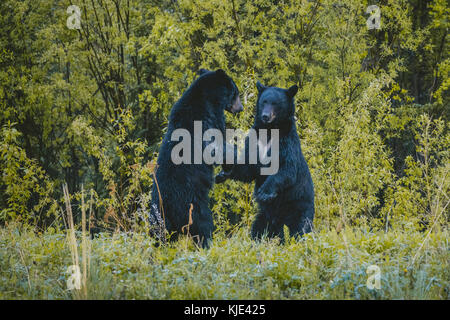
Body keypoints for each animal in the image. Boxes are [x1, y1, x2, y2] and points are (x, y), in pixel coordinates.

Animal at [149, 68, 243, 248]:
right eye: (236, 92)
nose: (240, 108)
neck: (209, 100)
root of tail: (168, 207)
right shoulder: (206, 121)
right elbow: (217, 146)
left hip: (158, 218)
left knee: (157, 235)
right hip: (192, 206)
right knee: (202, 226)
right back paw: (207, 244)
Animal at [216, 81, 314, 241]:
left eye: (276, 103)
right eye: (264, 102)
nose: (265, 116)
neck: (269, 130)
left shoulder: (286, 142)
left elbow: (286, 169)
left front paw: (264, 192)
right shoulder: (255, 140)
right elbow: (248, 167)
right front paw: (223, 171)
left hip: (299, 204)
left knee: (301, 228)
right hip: (266, 215)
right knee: (260, 229)